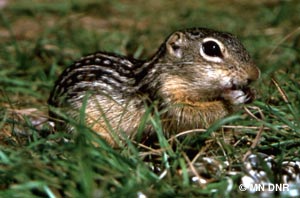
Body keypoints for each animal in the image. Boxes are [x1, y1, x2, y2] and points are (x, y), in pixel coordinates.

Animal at [47, 27, 260, 146]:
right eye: (211, 48)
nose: (255, 75)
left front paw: (250, 93)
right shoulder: (164, 97)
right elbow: (191, 115)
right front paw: (232, 98)